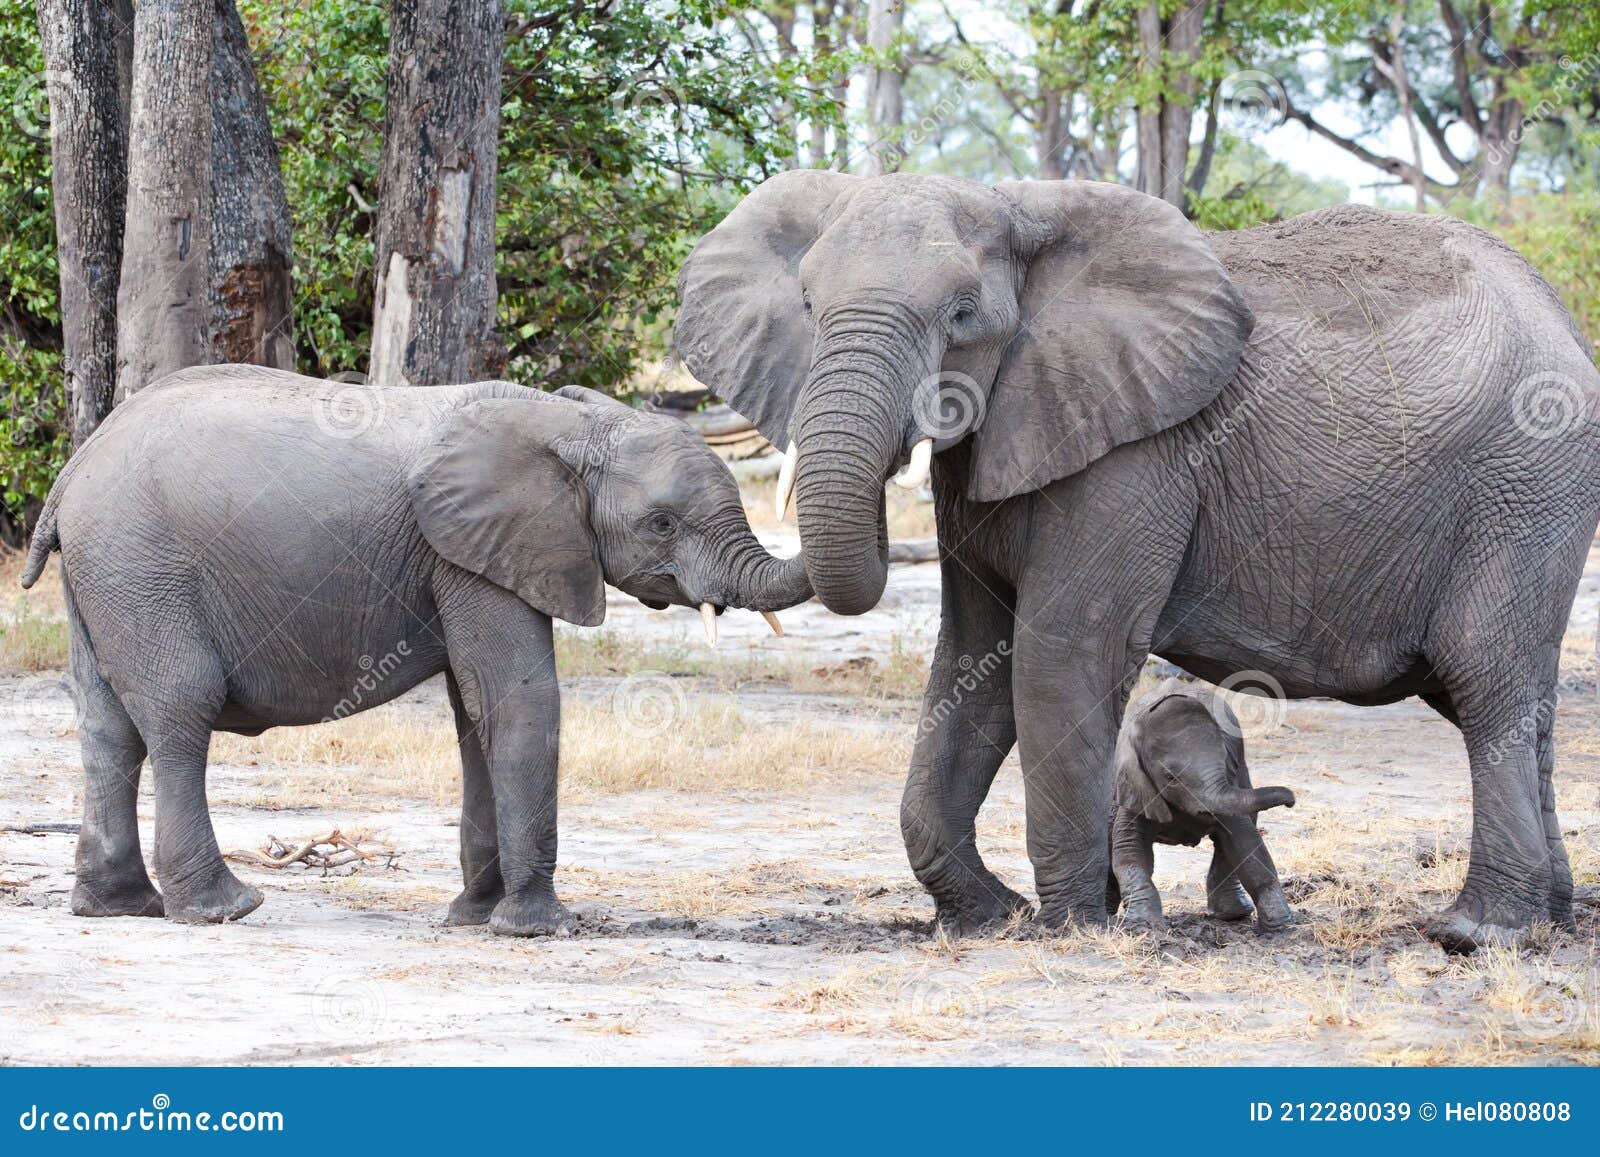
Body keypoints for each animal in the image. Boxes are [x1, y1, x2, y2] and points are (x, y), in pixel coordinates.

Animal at [18, 366, 806, 934]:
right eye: (661, 523)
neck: (572, 425)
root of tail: (73, 469)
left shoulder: (471, 555)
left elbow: (475, 711)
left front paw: (473, 917)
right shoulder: (472, 553)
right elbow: (517, 702)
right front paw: (536, 927)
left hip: (105, 573)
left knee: (107, 728)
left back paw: (117, 907)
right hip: (143, 567)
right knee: (180, 712)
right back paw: (225, 908)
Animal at [1113, 684, 1299, 934]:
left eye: (1227, 762)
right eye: (1170, 778)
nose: (1291, 801)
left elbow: (1246, 843)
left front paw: (1281, 929)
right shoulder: (1135, 785)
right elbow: (1129, 847)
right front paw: (1146, 928)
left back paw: (1232, 914)